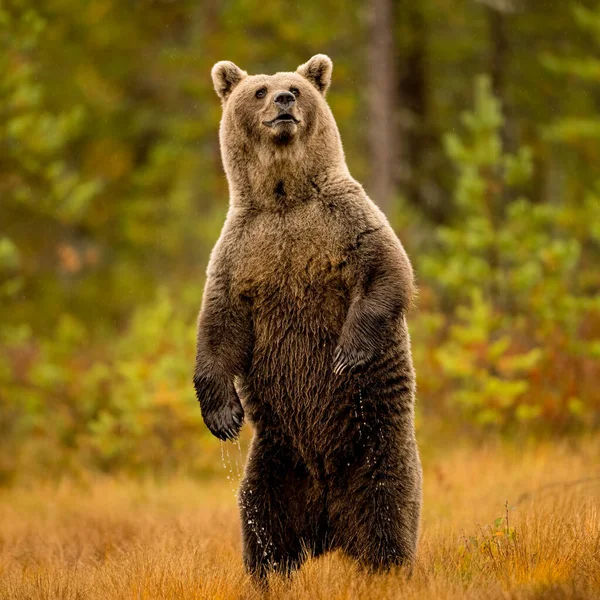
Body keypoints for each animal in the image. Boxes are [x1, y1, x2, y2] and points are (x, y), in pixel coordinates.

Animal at [193, 54, 422, 580]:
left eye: (296, 87)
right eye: (259, 90)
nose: (284, 101)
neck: (283, 197)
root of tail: (328, 525)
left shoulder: (345, 221)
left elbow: (388, 271)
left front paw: (346, 354)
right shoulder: (241, 252)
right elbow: (219, 328)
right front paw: (223, 415)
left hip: (375, 446)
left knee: (387, 509)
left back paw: (387, 567)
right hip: (278, 460)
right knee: (262, 519)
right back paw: (267, 573)